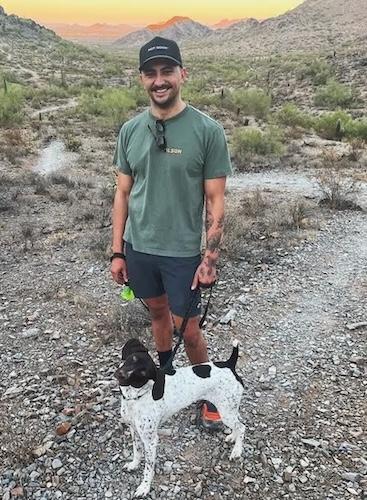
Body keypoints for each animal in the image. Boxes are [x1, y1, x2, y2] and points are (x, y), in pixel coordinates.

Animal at [115, 338, 246, 498]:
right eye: (132, 359)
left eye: (143, 372)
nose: (120, 375)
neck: (135, 397)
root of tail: (229, 364)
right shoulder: (134, 430)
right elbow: (137, 451)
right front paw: (134, 464)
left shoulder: (151, 440)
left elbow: (148, 468)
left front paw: (144, 487)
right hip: (228, 408)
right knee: (238, 422)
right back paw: (232, 437)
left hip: (226, 411)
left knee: (242, 427)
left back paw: (236, 451)